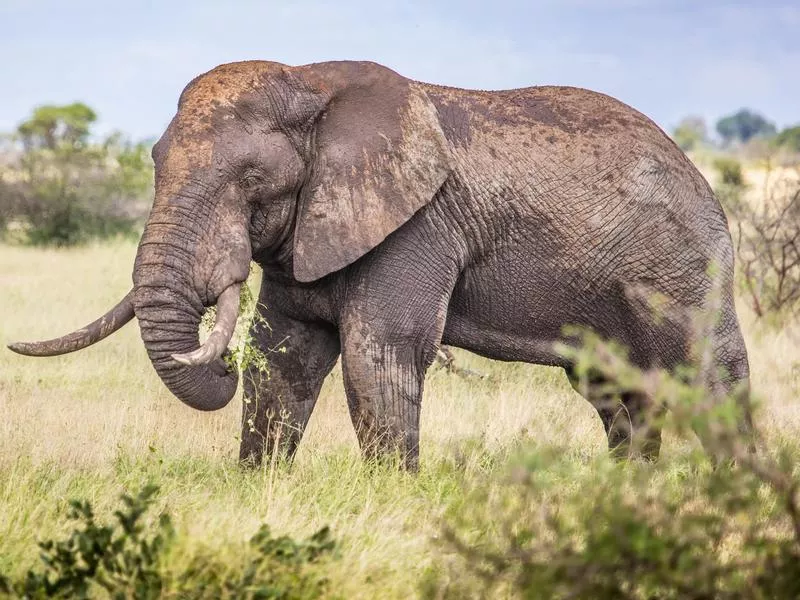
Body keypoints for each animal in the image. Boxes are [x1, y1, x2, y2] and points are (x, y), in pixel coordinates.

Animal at [10, 59, 752, 468]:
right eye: (155, 160)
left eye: (252, 178)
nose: (215, 366)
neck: (312, 85)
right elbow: (284, 354)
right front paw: (257, 484)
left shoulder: (417, 226)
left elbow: (381, 348)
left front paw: (391, 491)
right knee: (616, 392)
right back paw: (631, 489)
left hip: (684, 267)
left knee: (710, 372)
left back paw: (735, 488)